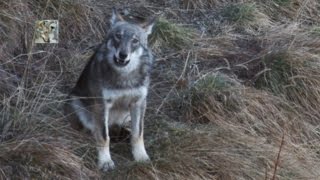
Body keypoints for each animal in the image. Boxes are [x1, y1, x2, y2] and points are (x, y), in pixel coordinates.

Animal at [65, 8, 155, 172]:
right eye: (118, 36)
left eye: (135, 41)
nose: (123, 55)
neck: (125, 77)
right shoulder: (102, 105)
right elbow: (103, 137)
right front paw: (105, 162)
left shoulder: (139, 103)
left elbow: (138, 134)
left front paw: (141, 157)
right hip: (80, 107)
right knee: (93, 131)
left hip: (127, 115)